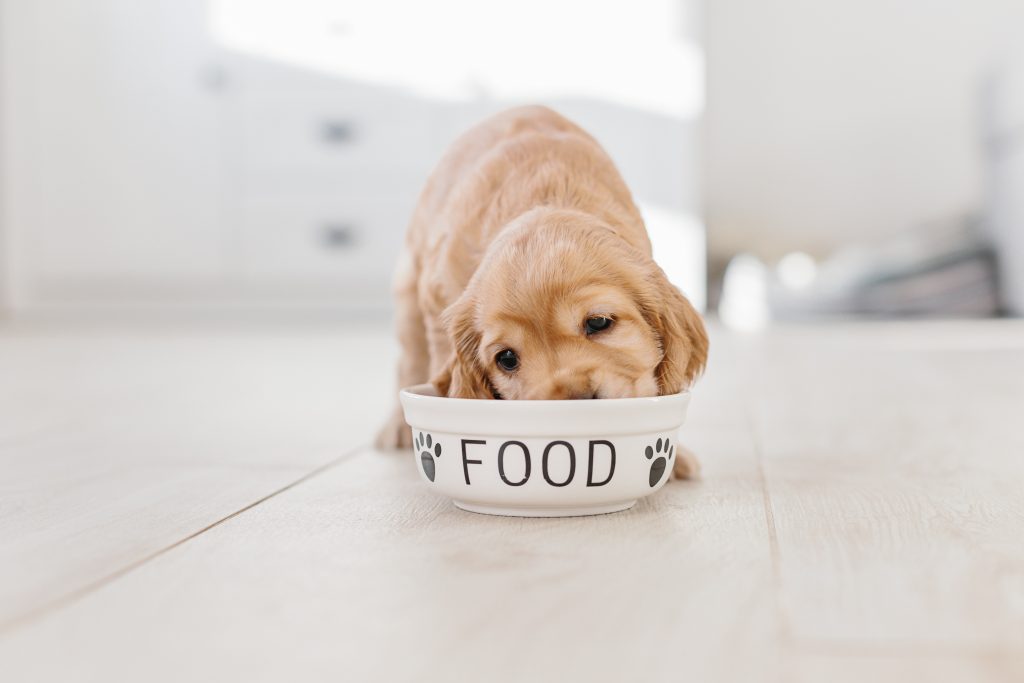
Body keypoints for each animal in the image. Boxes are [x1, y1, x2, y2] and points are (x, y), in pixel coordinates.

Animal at [380, 107, 708, 479]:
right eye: (507, 358)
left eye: (599, 322)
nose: (578, 400)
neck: (547, 196)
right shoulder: (437, 301)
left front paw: (675, 457)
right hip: (408, 294)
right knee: (408, 362)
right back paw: (395, 426)